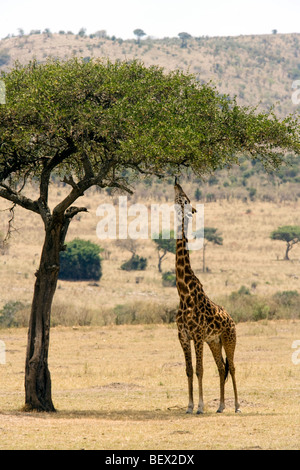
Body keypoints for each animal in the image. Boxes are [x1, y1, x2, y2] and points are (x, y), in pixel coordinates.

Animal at [173, 180, 239, 414]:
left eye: (185, 198)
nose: (176, 182)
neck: (183, 293)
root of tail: (231, 319)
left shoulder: (198, 335)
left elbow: (200, 370)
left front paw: (200, 406)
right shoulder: (183, 337)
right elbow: (188, 370)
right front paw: (190, 406)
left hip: (229, 339)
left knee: (232, 367)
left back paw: (237, 406)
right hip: (215, 341)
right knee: (221, 368)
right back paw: (220, 406)